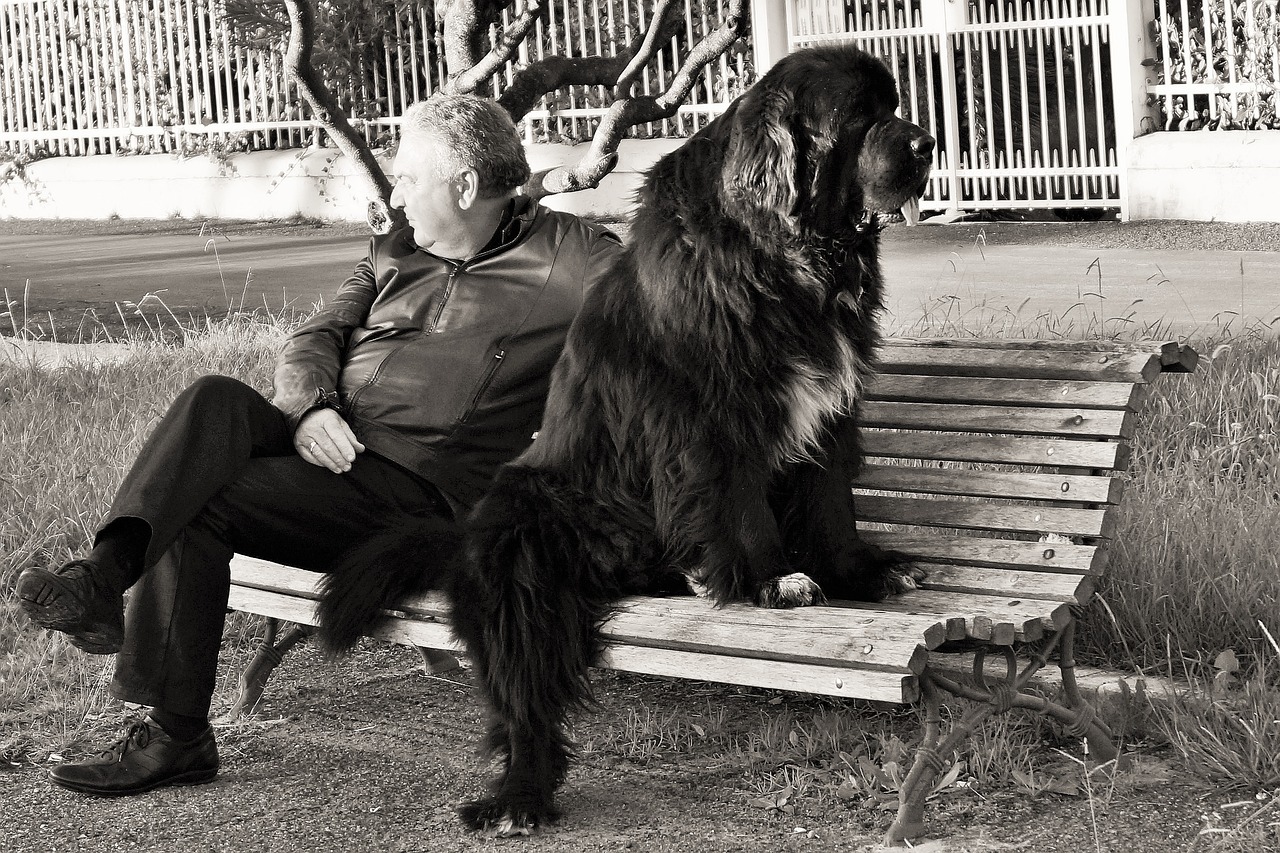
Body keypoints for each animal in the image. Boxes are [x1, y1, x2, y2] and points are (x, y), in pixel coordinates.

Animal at [445, 41, 936, 829]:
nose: (927, 143)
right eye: (860, 116)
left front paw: (861, 568)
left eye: (891, 105)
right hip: (524, 535)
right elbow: (739, 502)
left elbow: (832, 500)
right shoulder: (711, 414)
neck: (783, 252)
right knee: (524, 679)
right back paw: (522, 791)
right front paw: (769, 577)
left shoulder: (832, 406)